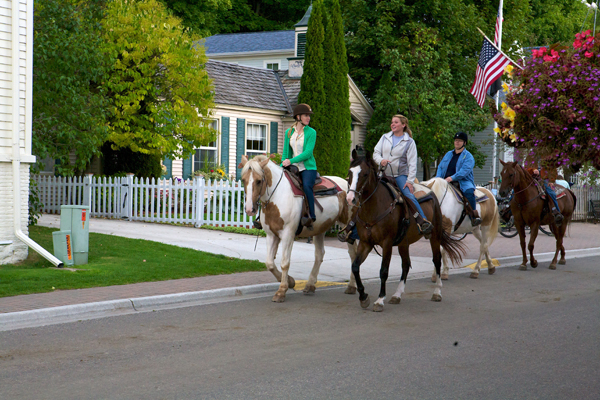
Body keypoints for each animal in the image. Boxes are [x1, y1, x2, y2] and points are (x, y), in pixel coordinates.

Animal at [239, 155, 356, 302]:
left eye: (259, 181)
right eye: (243, 180)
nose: (249, 209)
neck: (277, 196)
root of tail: (346, 184)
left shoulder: (288, 234)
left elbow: (284, 263)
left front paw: (281, 291)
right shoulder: (271, 235)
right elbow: (269, 263)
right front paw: (290, 282)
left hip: (347, 226)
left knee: (353, 253)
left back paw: (351, 286)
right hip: (320, 228)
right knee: (319, 254)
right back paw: (310, 285)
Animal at [344, 150, 466, 312]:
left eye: (364, 173)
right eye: (350, 172)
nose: (350, 198)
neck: (375, 208)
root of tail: (431, 192)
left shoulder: (387, 243)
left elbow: (383, 271)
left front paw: (379, 300)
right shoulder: (366, 243)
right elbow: (355, 267)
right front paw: (363, 297)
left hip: (435, 236)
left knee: (437, 260)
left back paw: (437, 292)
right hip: (403, 243)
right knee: (406, 265)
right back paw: (397, 295)